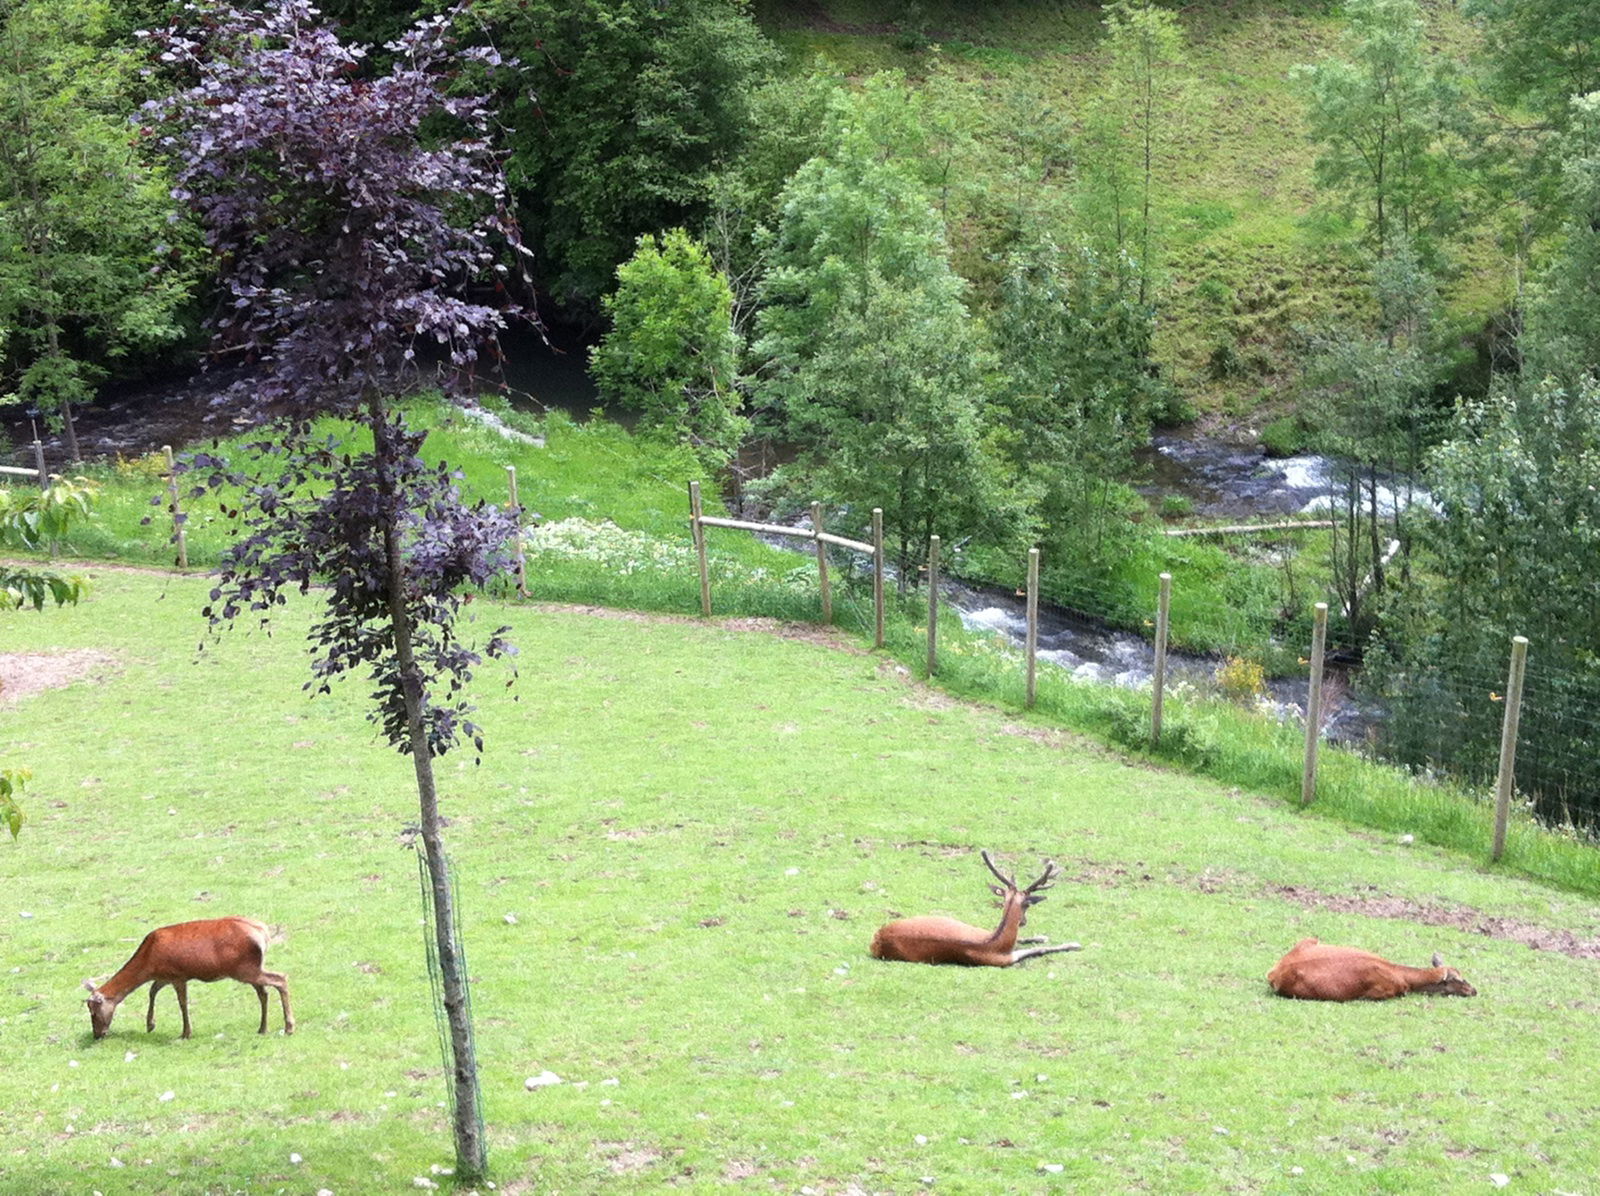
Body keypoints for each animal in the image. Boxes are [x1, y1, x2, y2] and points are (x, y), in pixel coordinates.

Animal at [83, 914, 294, 1036]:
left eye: (93, 1011)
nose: (97, 1034)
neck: (149, 962)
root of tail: (263, 932)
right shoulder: (164, 976)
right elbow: (152, 991)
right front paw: (150, 1025)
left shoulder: (178, 975)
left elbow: (182, 1003)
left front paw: (185, 1033)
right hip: (251, 968)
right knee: (264, 993)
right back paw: (263, 1028)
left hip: (245, 969)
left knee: (281, 978)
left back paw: (289, 1027)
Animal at [870, 844, 1081, 965]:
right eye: (1027, 905)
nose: (1023, 922)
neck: (996, 943)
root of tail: (878, 939)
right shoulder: (1003, 960)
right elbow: (1036, 950)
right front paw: (1074, 943)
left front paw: (1042, 936)